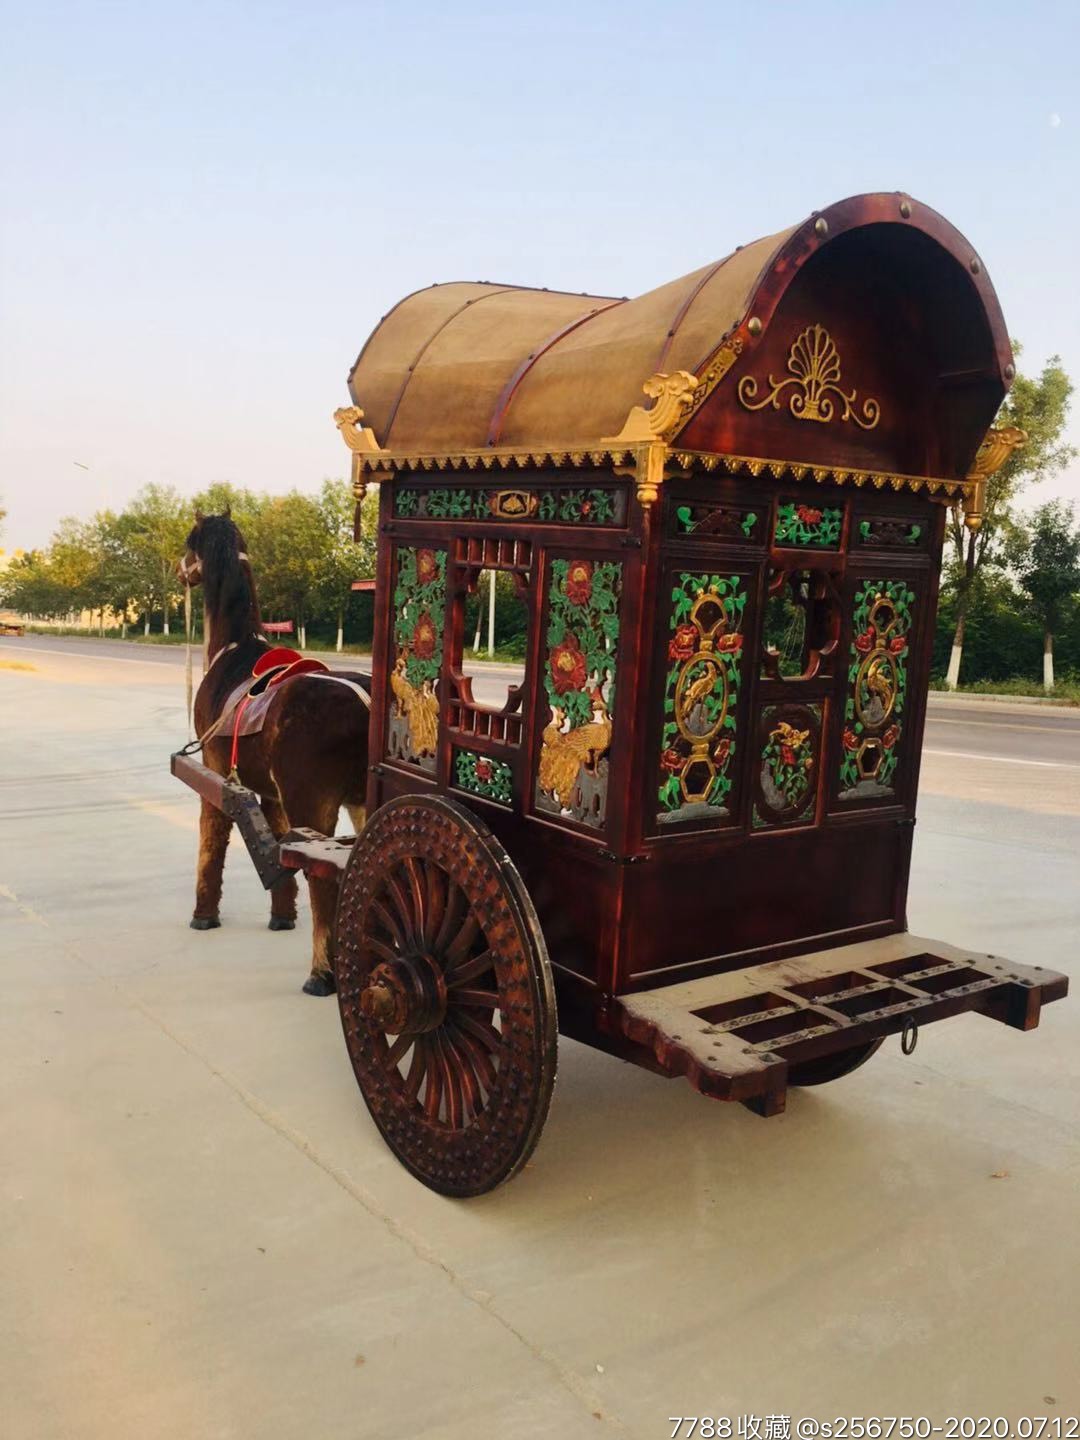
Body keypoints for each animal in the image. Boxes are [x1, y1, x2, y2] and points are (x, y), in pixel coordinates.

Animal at [180, 512, 371, 996]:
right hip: (361, 800)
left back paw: (322, 974)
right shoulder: (268, 790)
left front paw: (203, 914)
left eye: (189, 542)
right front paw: (282, 916)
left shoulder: (214, 768)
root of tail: (365, 705)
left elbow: (213, 836)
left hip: (315, 802)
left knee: (324, 875)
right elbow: (276, 846)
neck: (232, 650)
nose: (178, 570)